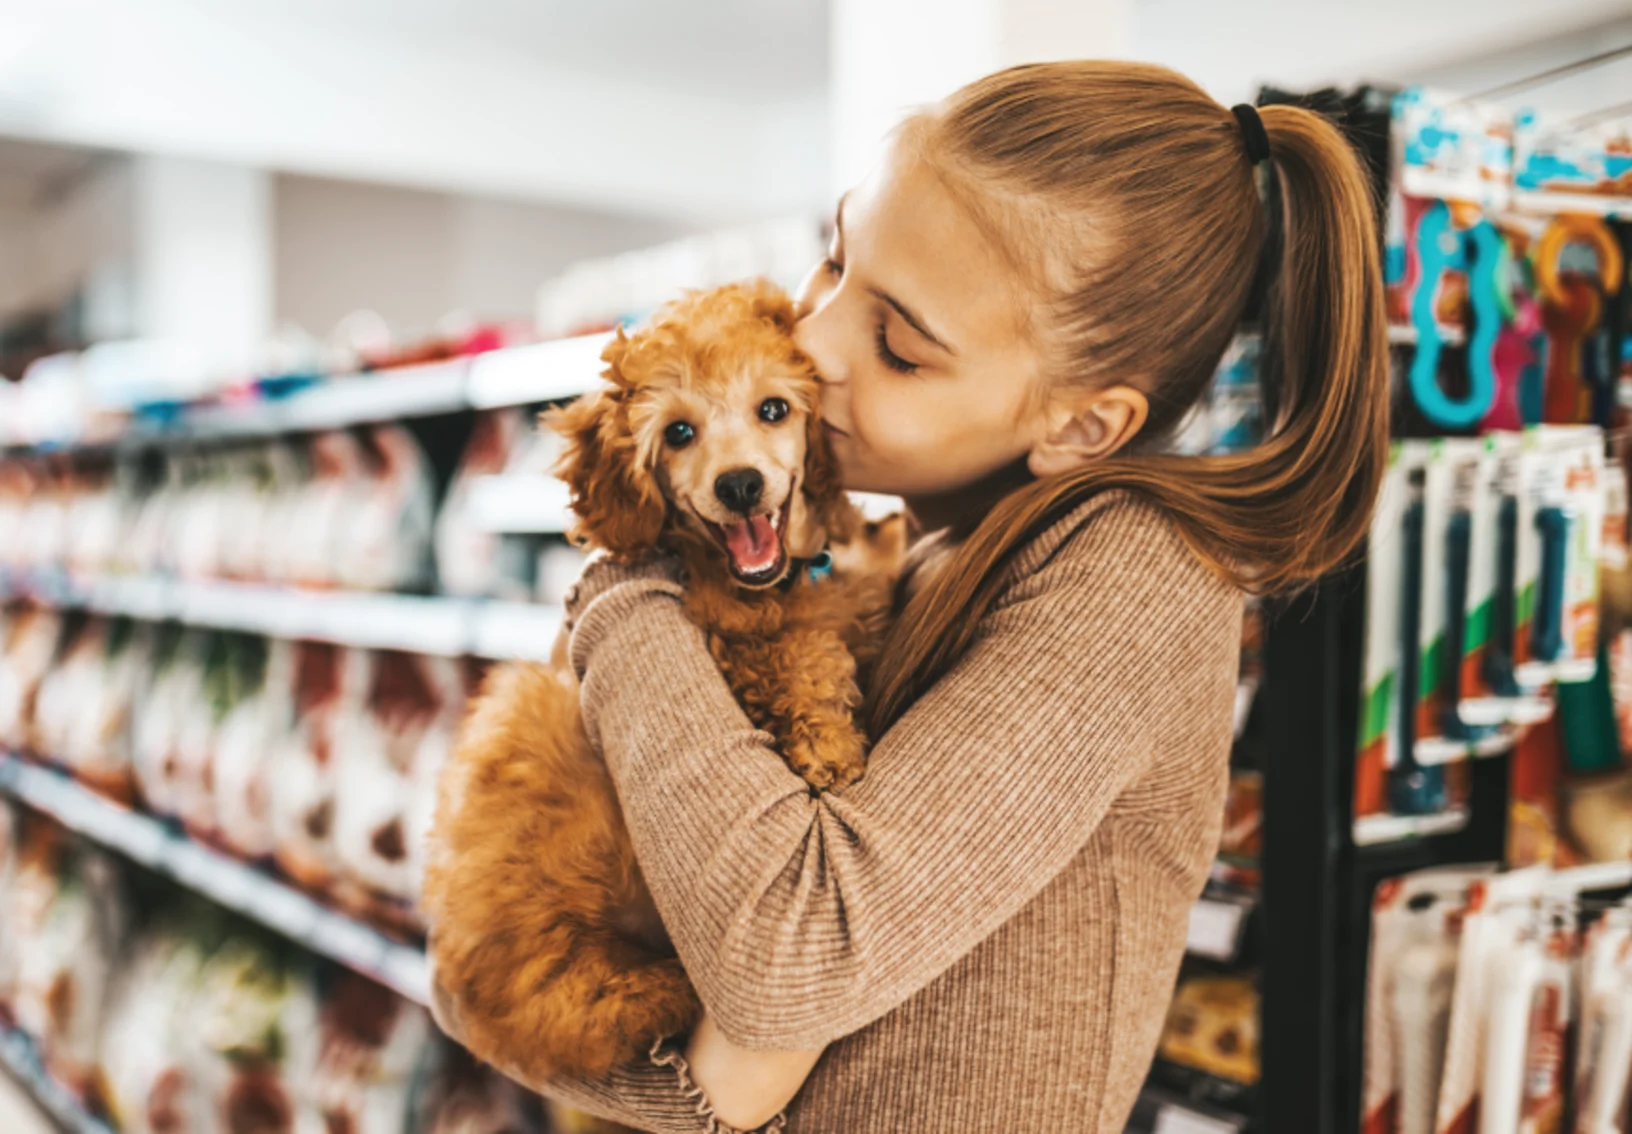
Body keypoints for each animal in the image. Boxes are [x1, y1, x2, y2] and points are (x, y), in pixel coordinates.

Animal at [421, 279, 907, 1089]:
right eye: (678, 432)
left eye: (773, 409)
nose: (739, 485)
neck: (769, 580)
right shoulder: (722, 640)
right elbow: (793, 649)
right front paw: (827, 743)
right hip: (527, 740)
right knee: (563, 1000)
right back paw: (656, 989)